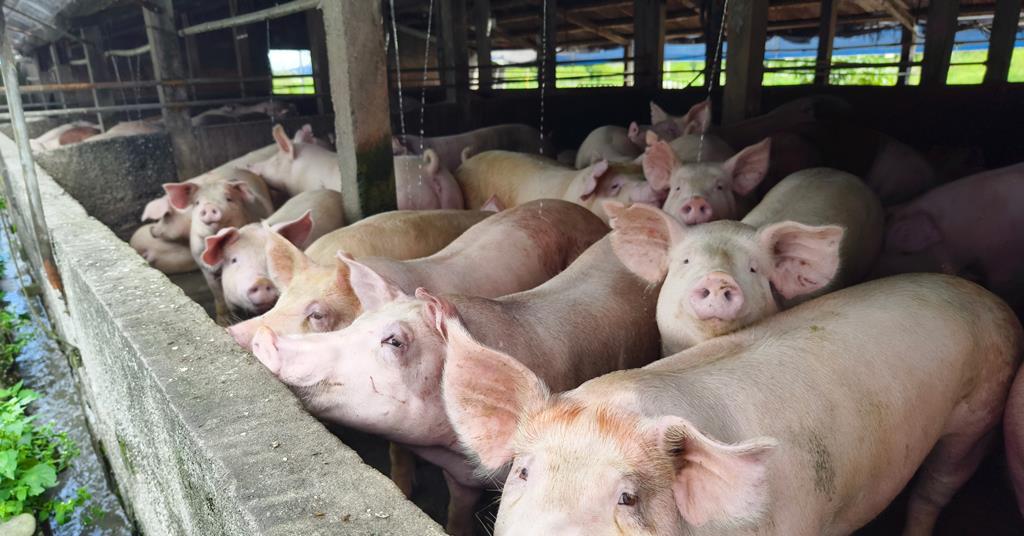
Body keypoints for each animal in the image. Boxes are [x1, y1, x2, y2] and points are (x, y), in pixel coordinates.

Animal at [165, 169, 274, 324]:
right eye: (197, 203)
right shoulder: (203, 265)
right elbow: (218, 294)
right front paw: (222, 322)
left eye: (229, 199)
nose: (209, 206)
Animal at [249, 234, 662, 536]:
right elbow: (456, 513)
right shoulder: (462, 475)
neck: (451, 448)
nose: (263, 338)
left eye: (394, 341)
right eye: (356, 323)